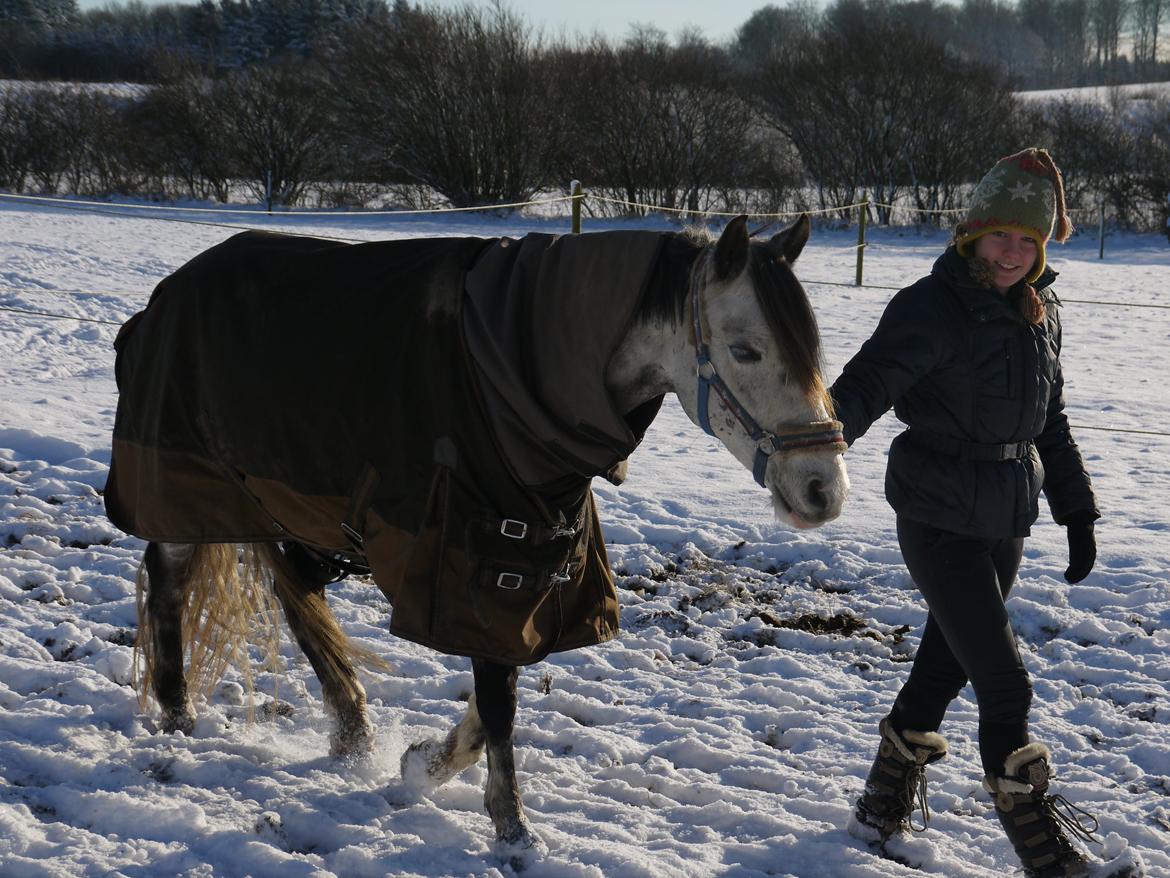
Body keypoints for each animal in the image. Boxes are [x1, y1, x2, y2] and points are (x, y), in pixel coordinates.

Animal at [105, 214, 849, 855]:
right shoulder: (479, 564)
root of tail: (166, 295)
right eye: (746, 350)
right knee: (172, 582)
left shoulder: (532, 564)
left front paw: (424, 763)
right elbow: (499, 703)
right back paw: (178, 715)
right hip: (186, 486)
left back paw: (350, 729)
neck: (511, 381)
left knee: (294, 598)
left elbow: (498, 691)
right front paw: (511, 827)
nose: (825, 488)